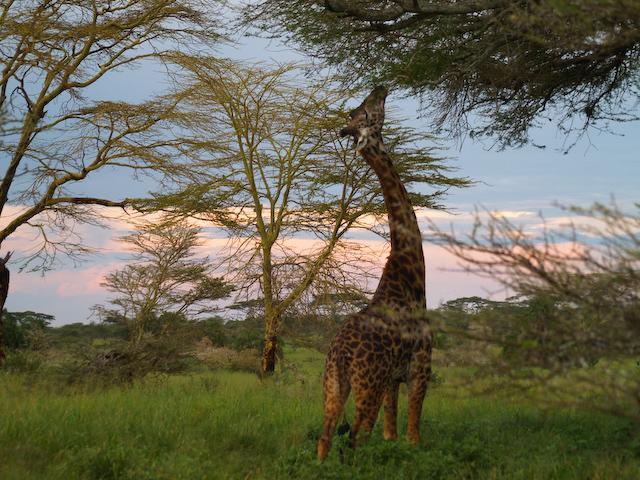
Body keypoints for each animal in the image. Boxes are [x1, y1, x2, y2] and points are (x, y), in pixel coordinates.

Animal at [318, 86, 432, 462]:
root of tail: (341, 351)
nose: (380, 87)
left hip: (334, 382)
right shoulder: (420, 368)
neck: (410, 274)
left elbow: (390, 433)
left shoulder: (393, 379)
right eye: (367, 111)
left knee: (325, 436)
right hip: (367, 384)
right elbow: (412, 436)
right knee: (354, 437)